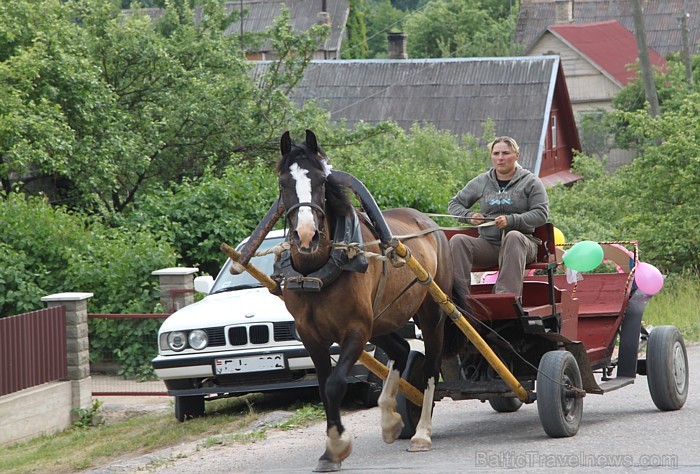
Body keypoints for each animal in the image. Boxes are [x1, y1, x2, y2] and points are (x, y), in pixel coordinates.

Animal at [274, 129, 460, 470]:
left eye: (321, 181)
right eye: (283, 183)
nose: (307, 236)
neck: (317, 272)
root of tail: (429, 223)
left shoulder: (356, 330)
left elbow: (335, 384)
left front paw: (337, 446)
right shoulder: (310, 336)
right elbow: (324, 388)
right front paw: (330, 452)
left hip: (430, 316)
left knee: (430, 368)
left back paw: (422, 433)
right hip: (383, 320)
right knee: (401, 351)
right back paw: (390, 418)